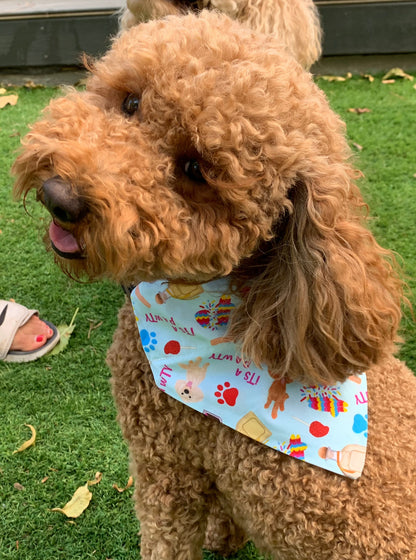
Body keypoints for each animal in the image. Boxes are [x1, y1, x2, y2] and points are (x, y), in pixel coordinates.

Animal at [13, 12, 416, 560]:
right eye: (131, 102)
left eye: (194, 170)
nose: (60, 196)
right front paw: (224, 538)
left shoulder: (168, 466)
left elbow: (168, 538)